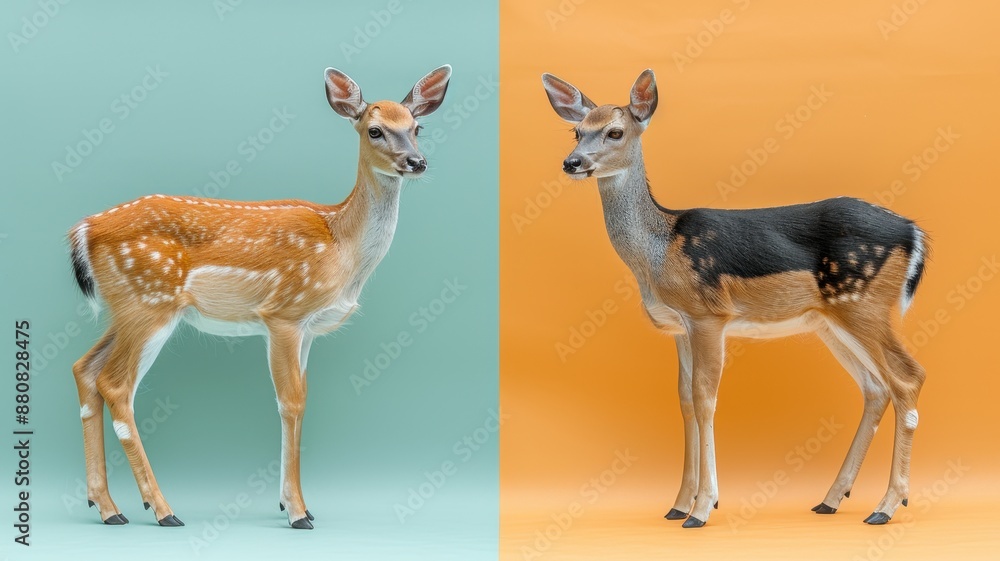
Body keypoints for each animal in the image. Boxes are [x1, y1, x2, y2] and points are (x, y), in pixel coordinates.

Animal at [68, 64, 452, 529]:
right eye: (375, 130)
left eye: (417, 127)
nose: (416, 162)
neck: (341, 245)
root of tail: (84, 230)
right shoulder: (284, 313)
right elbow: (291, 402)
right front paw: (299, 513)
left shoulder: (308, 329)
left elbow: (301, 399)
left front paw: (292, 504)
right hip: (150, 303)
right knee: (115, 384)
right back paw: (161, 510)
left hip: (125, 309)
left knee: (85, 369)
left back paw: (107, 507)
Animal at [541, 69, 928, 528]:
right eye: (577, 131)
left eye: (615, 131)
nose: (572, 162)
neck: (659, 251)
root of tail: (914, 233)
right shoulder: (679, 327)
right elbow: (685, 400)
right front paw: (677, 504)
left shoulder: (708, 314)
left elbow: (706, 397)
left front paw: (702, 508)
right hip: (829, 321)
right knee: (875, 387)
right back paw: (832, 499)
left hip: (864, 304)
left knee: (907, 377)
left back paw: (885, 506)